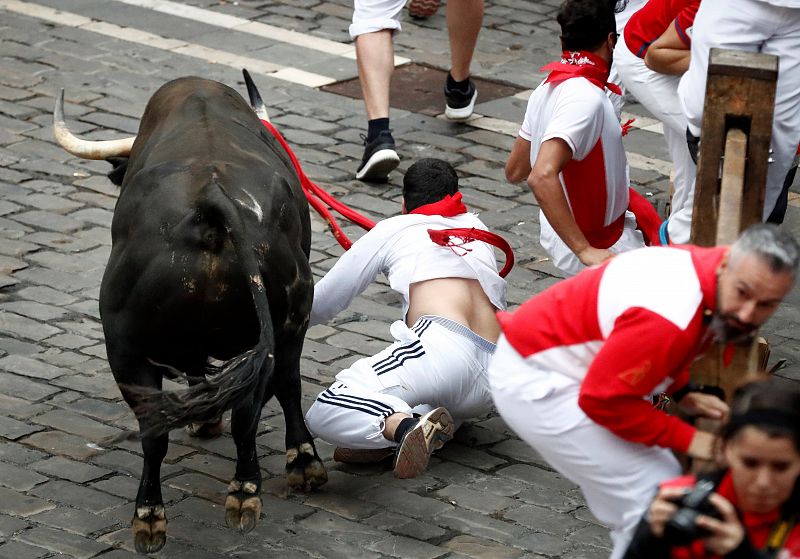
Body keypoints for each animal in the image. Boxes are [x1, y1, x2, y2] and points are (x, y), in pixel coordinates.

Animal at [54, 76, 326, 552]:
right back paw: (244, 491)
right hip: (278, 328)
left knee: (163, 430)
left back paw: (155, 513)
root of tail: (213, 204)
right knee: (248, 411)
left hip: (127, 345)